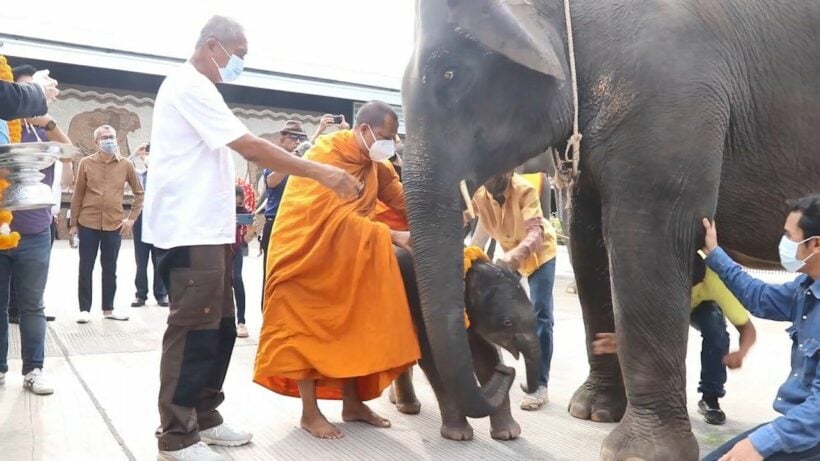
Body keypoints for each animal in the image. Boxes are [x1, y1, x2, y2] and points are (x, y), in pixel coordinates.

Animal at [392, 250, 540, 440]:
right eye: (507, 323)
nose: (508, 370)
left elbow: (485, 357)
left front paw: (509, 434)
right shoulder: (422, 306)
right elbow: (435, 361)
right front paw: (459, 435)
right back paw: (408, 408)